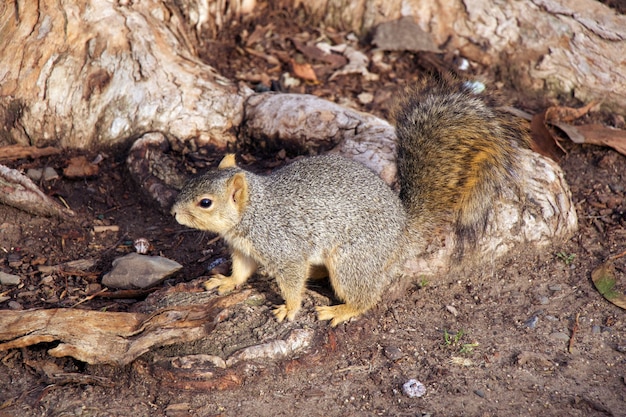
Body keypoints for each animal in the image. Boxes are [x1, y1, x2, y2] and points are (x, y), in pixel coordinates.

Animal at [169, 77, 528, 324]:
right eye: (191, 181)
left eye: (205, 202)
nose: (173, 213)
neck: (253, 213)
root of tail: (403, 231)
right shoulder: (245, 250)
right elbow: (242, 271)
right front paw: (226, 282)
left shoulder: (284, 249)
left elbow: (291, 281)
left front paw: (289, 309)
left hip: (351, 260)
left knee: (367, 297)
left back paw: (340, 310)